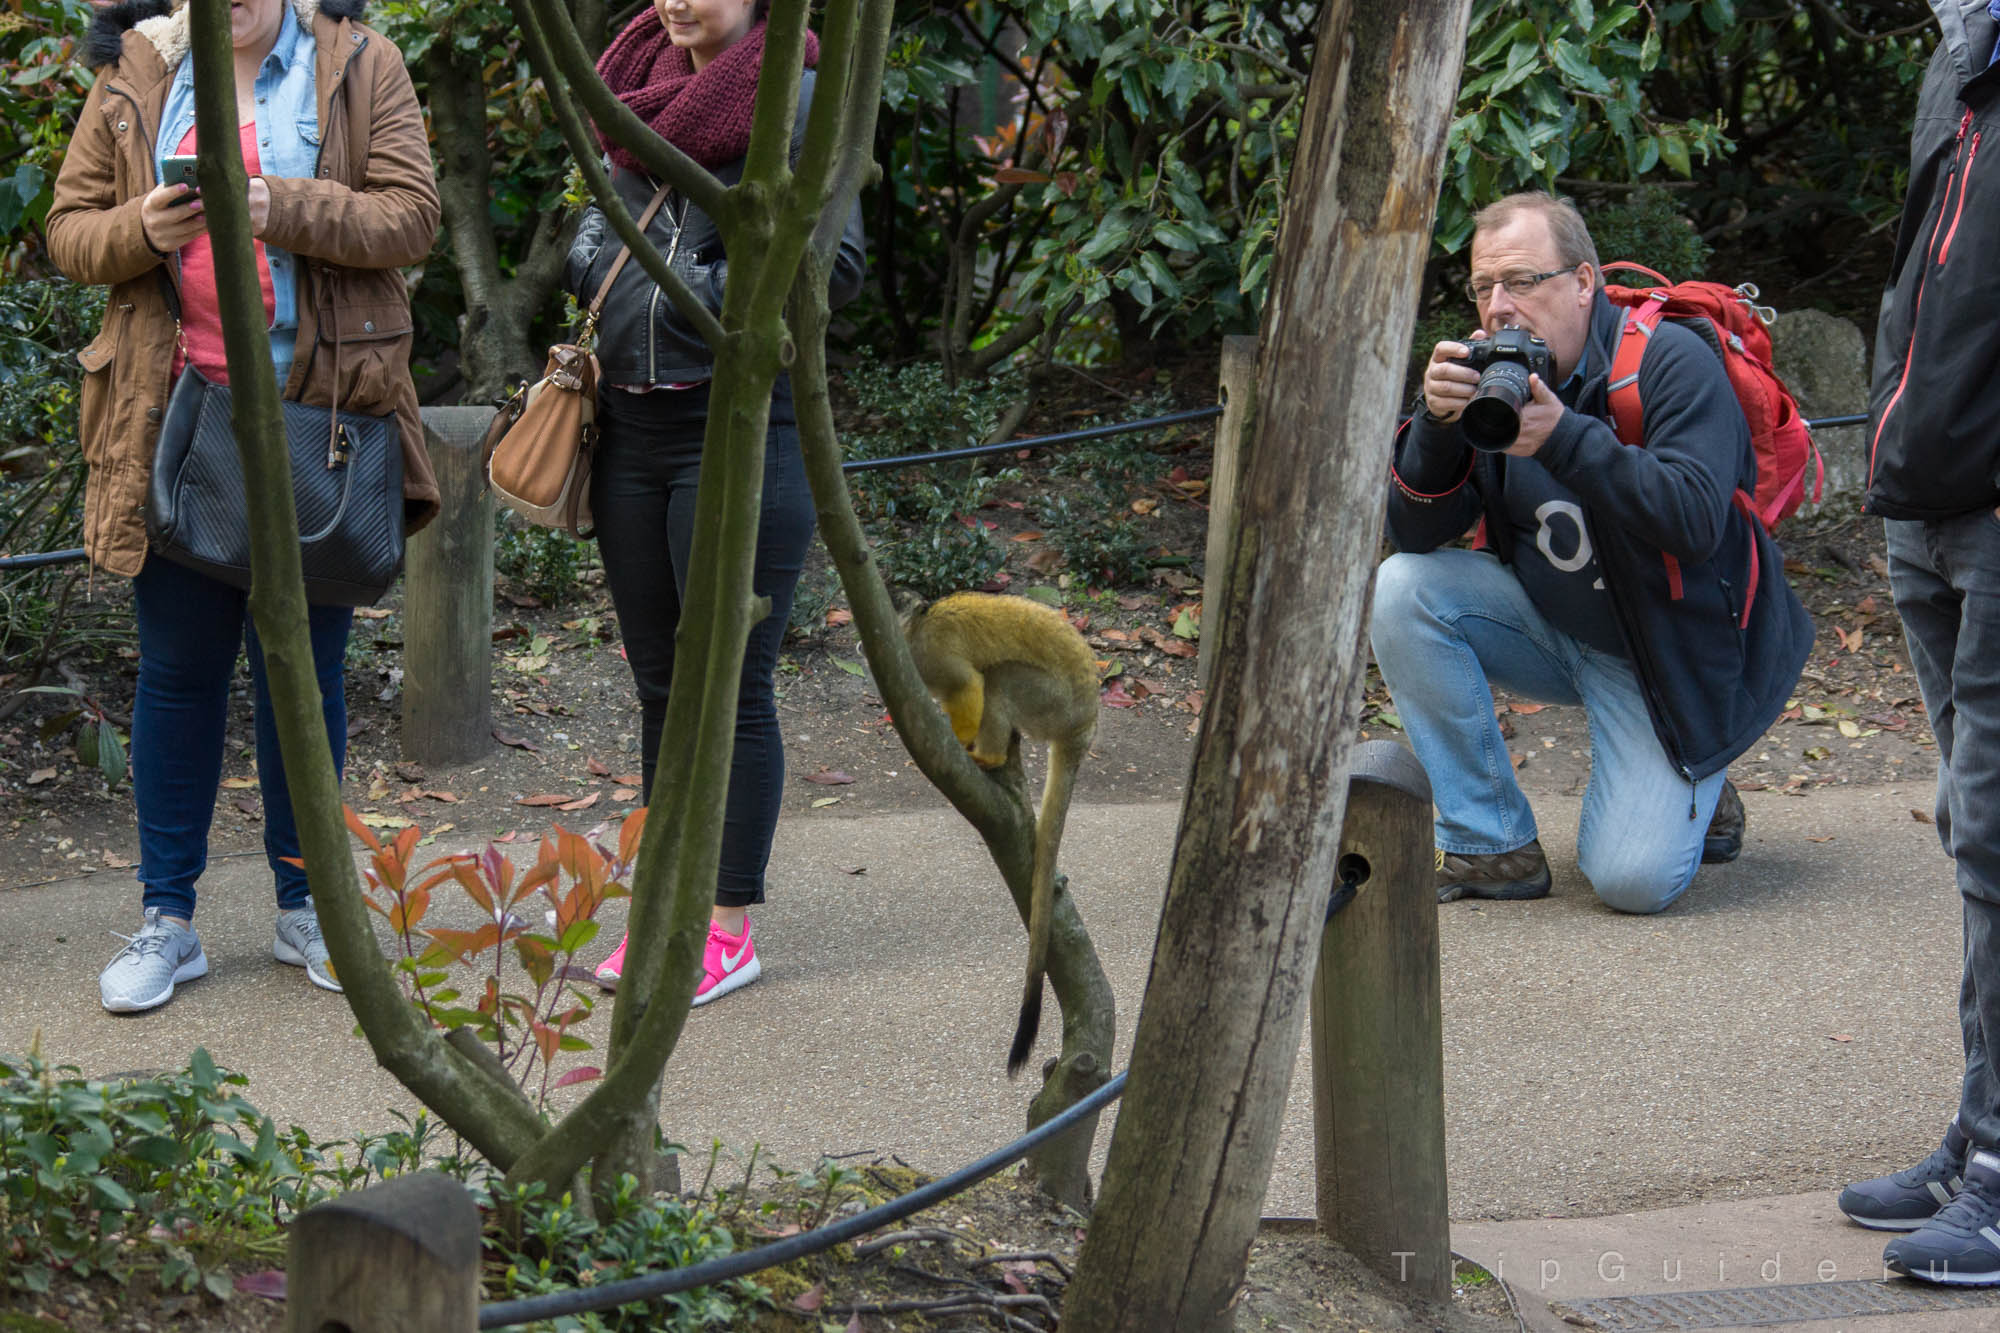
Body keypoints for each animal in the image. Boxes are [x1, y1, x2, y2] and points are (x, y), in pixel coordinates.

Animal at [896, 589, 1099, 1076]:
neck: (916, 629)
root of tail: (1085, 725)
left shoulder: (931, 656)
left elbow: (968, 685)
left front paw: (958, 739)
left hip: (1053, 704)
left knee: (999, 679)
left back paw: (986, 756)